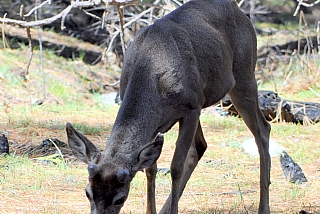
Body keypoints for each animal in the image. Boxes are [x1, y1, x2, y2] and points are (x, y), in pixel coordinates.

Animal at [66, 0, 272, 213]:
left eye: (120, 198)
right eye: (87, 192)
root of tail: (239, 10)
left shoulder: (191, 109)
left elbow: (176, 167)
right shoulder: (159, 120)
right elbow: (150, 168)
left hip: (244, 74)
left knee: (263, 129)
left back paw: (263, 206)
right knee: (201, 145)